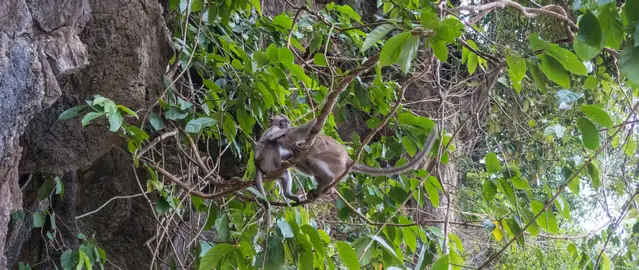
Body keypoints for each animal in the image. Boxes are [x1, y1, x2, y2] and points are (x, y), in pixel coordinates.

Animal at [278, 119, 440, 199]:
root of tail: (347, 160)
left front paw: (296, 146)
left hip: (334, 161)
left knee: (312, 160)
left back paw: (326, 182)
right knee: (308, 168)